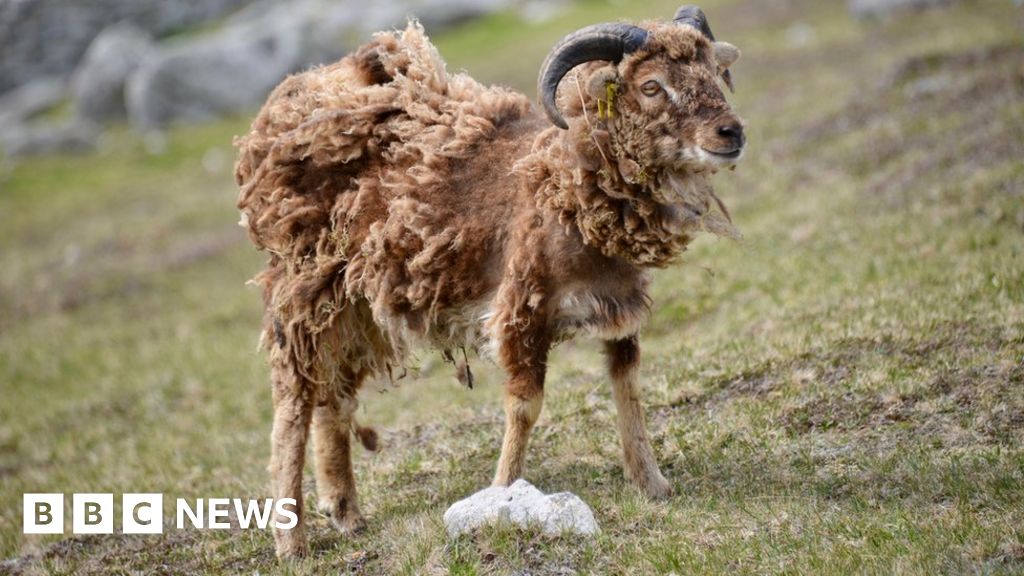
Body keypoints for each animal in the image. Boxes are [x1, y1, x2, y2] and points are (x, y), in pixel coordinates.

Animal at [235, 5, 745, 557]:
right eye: (651, 85)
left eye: (714, 71)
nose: (731, 132)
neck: (565, 186)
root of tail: (289, 100)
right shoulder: (521, 310)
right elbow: (525, 407)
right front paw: (502, 495)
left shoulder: (619, 309)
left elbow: (627, 388)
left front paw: (653, 485)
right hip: (302, 292)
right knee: (292, 407)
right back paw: (292, 541)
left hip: (354, 306)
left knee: (334, 398)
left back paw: (346, 513)